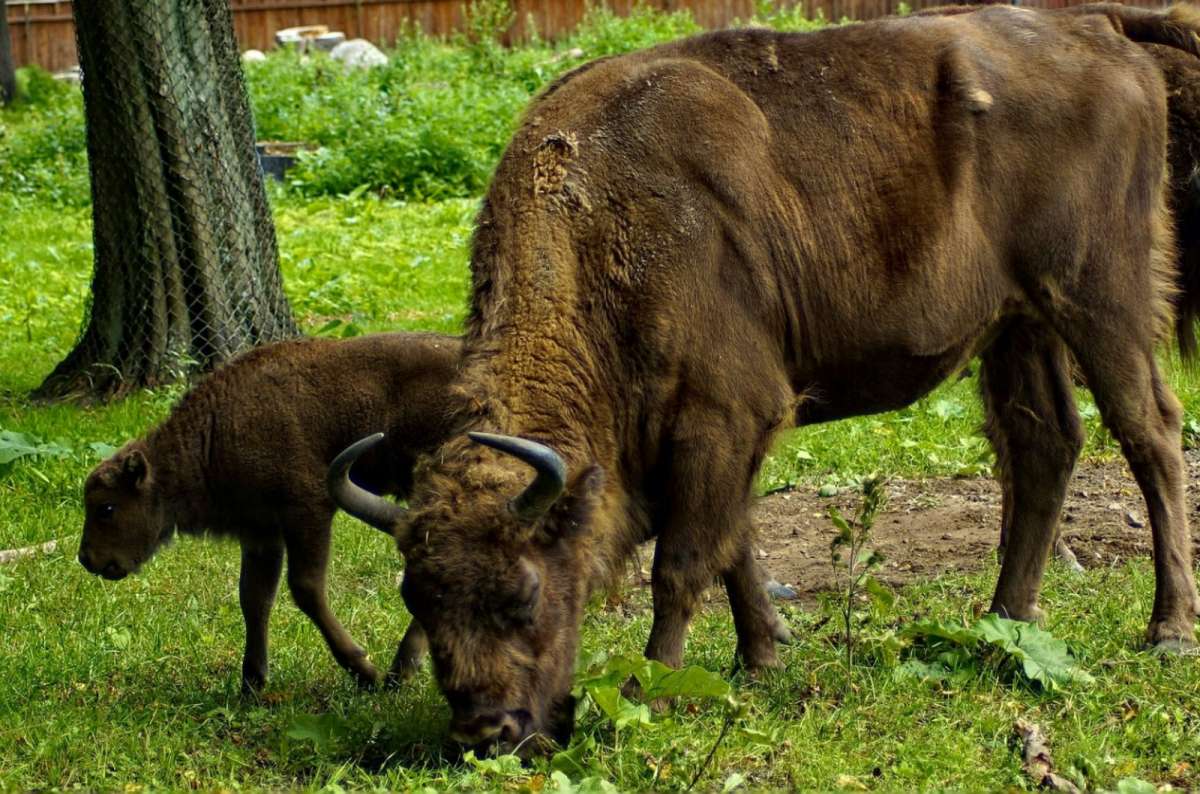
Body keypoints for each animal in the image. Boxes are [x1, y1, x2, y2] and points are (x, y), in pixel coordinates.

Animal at [78, 332, 462, 692]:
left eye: (107, 508)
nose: (86, 559)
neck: (214, 430)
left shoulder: (307, 512)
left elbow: (305, 588)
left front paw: (364, 670)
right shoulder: (260, 531)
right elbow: (254, 597)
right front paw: (251, 683)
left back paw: (400, 669)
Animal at [331, 5, 1200, 753]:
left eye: (524, 593)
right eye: (418, 597)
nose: (487, 732)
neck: (602, 218)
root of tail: (1094, 27)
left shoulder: (722, 412)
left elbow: (683, 560)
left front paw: (652, 687)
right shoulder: (714, 433)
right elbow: (733, 543)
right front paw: (764, 654)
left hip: (1099, 297)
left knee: (1150, 433)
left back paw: (1167, 631)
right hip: (1020, 324)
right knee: (1046, 445)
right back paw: (1005, 620)